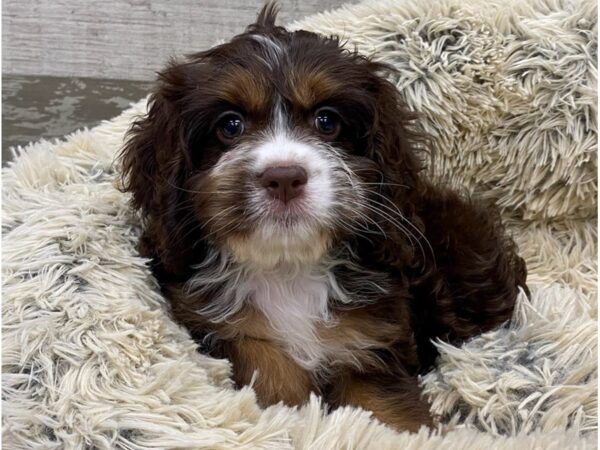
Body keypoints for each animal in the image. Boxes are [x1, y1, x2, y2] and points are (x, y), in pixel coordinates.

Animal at [119, 4, 528, 432]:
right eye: (230, 125)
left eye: (327, 121)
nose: (284, 177)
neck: (287, 268)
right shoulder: (229, 332)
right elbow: (275, 382)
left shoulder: (370, 341)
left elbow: (384, 412)